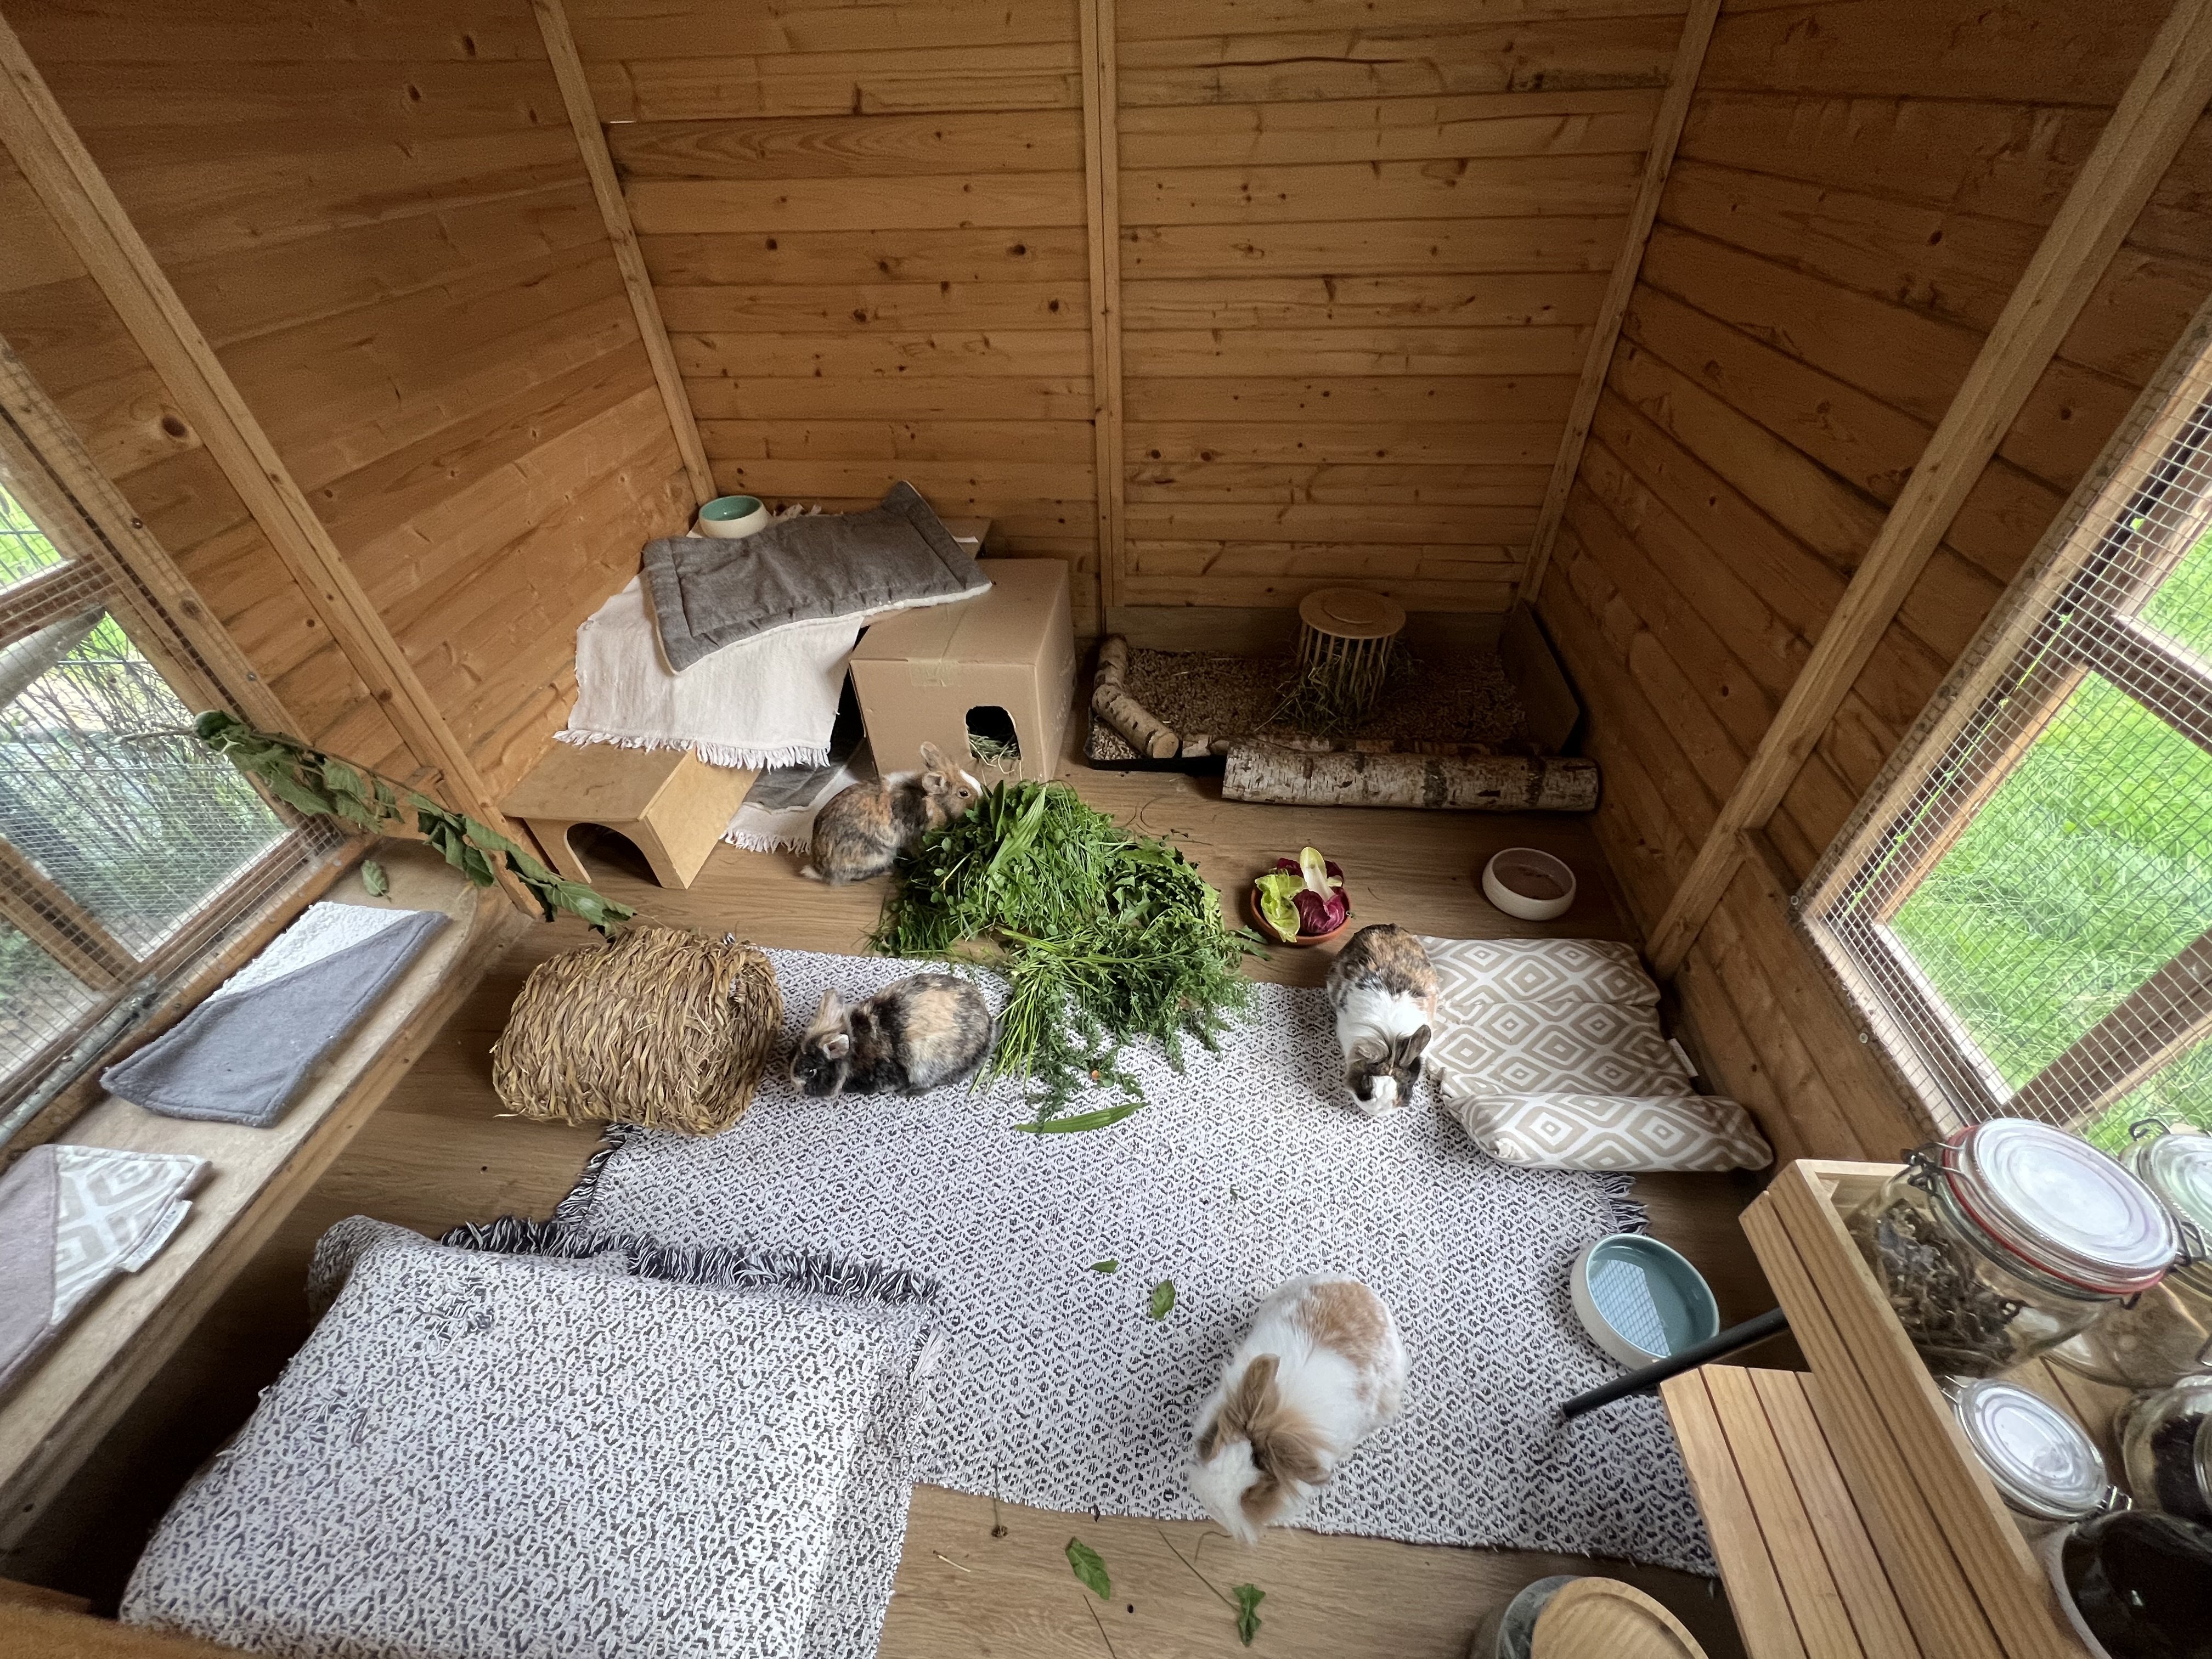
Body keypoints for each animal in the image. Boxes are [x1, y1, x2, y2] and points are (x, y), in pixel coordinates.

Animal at [800, 742, 981, 884]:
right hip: (877, 856)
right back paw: (889, 870)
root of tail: (819, 869)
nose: (982, 795)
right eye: (964, 793)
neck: (936, 802)